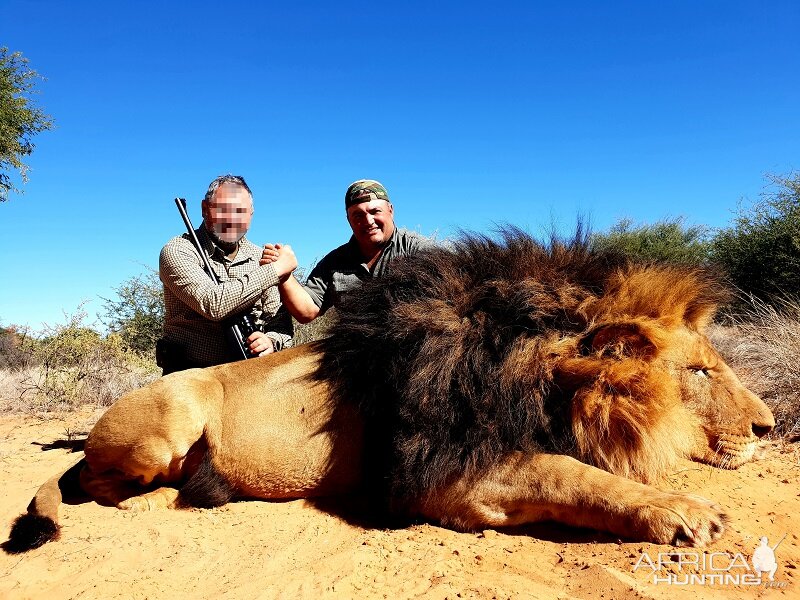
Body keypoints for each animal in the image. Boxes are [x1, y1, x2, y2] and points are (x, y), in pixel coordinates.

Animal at [3, 230, 772, 552]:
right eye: (700, 372)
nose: (768, 428)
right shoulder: (440, 474)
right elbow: (572, 475)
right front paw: (684, 511)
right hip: (171, 416)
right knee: (97, 484)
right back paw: (175, 493)